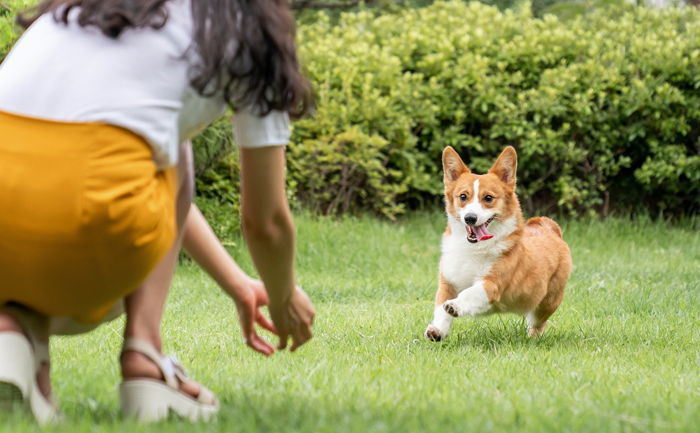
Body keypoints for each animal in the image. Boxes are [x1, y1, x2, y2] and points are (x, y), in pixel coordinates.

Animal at [424, 146, 572, 340]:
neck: (473, 249)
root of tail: (549, 226)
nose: (470, 218)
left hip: (548, 302)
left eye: (488, 198)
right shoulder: (447, 283)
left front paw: (455, 306)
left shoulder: (491, 285)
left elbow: (469, 293)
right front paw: (437, 331)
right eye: (463, 196)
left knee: (537, 323)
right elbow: (440, 309)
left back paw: (531, 338)